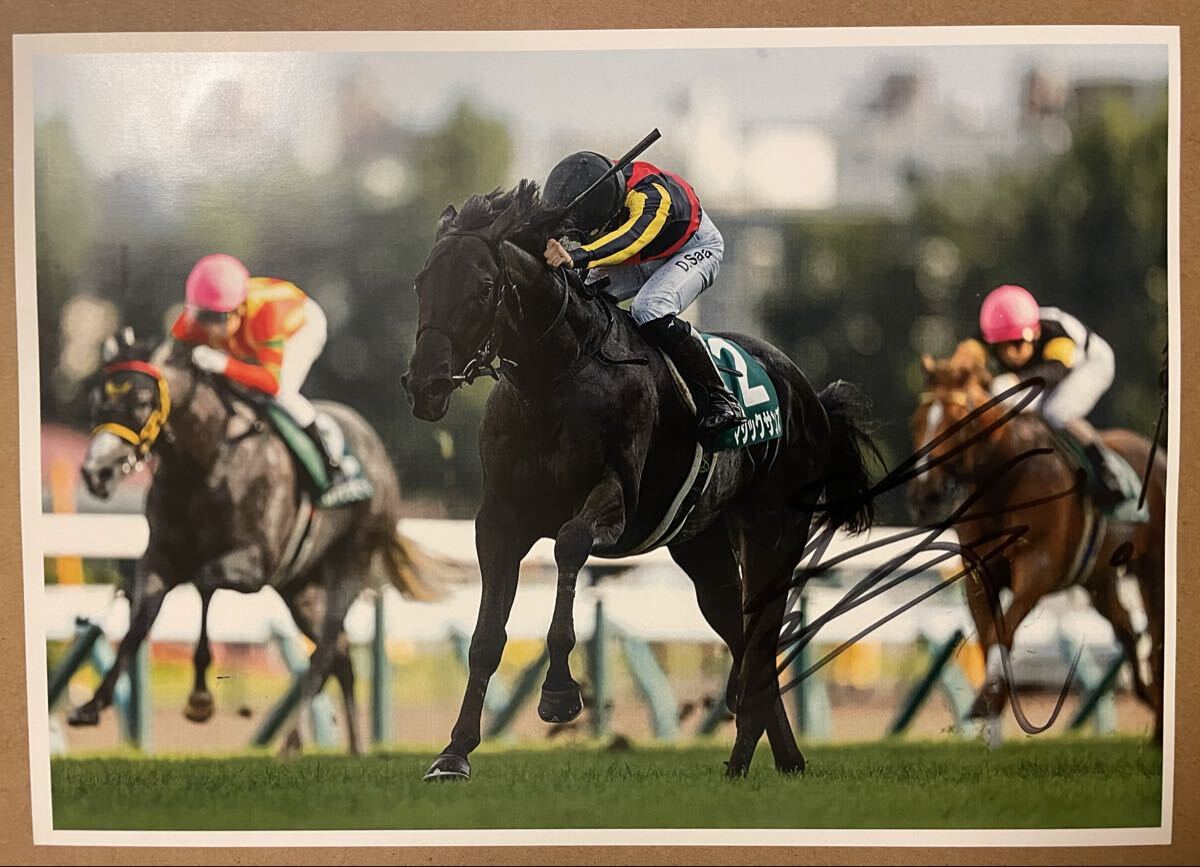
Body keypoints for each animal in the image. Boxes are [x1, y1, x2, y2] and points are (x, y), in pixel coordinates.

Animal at [72, 332, 440, 755]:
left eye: (142, 402)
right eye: (97, 400)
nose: (96, 472)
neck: (205, 460)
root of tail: (378, 451)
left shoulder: (253, 564)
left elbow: (203, 585)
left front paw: (200, 697)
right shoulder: (159, 559)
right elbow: (138, 626)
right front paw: (92, 705)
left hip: (351, 564)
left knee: (327, 651)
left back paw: (294, 740)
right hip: (300, 589)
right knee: (341, 656)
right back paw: (354, 748)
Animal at [401, 181, 881, 779]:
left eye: (484, 287)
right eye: (421, 282)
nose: (425, 384)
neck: (556, 376)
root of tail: (809, 395)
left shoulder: (615, 500)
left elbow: (569, 545)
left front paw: (559, 694)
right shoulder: (500, 518)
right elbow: (487, 637)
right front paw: (454, 753)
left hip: (775, 529)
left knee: (762, 636)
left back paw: (750, 755)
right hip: (703, 548)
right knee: (743, 636)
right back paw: (772, 759)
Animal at [909, 354, 1166, 743]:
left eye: (958, 421)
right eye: (920, 420)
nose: (926, 494)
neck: (1005, 481)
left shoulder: (1038, 568)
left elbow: (1004, 630)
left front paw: (988, 702)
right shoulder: (978, 577)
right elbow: (989, 636)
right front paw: (992, 708)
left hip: (1153, 567)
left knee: (1157, 637)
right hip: (1099, 581)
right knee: (1127, 630)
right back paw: (1149, 700)